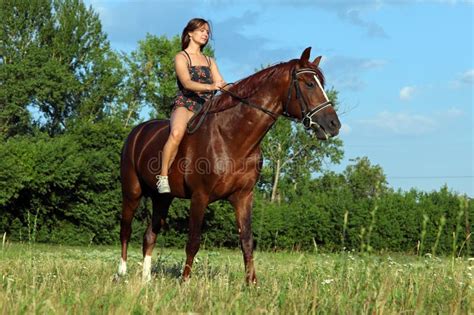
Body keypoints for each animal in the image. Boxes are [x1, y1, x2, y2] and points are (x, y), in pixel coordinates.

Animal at [118, 47, 340, 284]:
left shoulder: (243, 197)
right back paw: (121, 273)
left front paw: (252, 284)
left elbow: (247, 241)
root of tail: (136, 132)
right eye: (309, 84)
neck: (230, 137)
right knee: (126, 230)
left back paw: (146, 280)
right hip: (132, 192)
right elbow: (193, 241)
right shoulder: (200, 197)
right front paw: (185, 282)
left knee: (149, 235)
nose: (333, 125)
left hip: (163, 198)